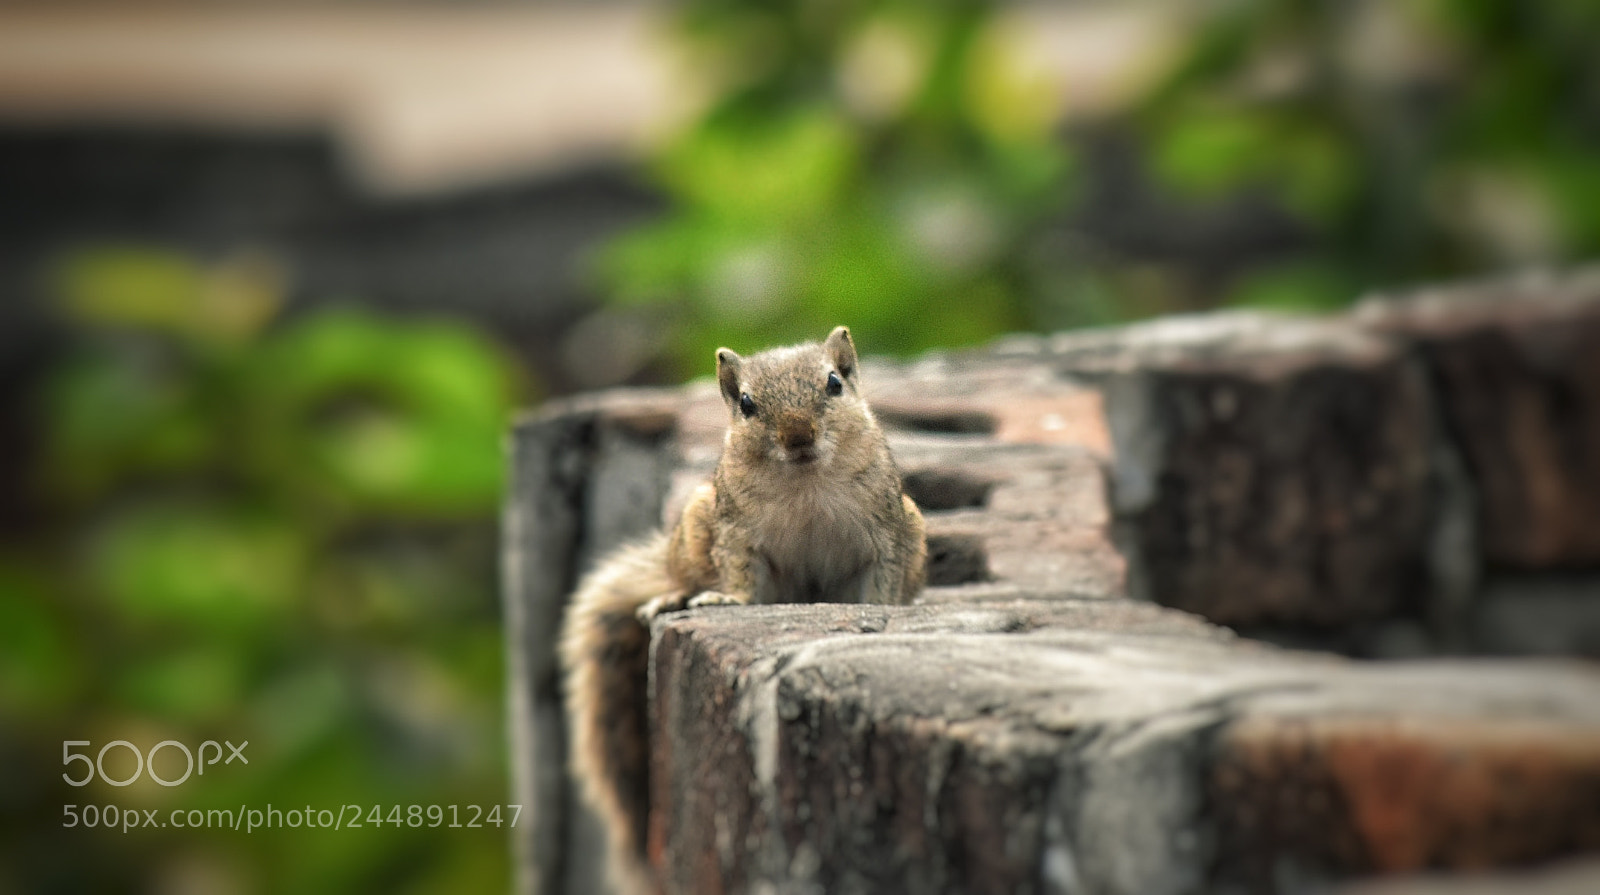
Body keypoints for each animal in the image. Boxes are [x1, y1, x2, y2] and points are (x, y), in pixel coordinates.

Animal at [558, 325, 927, 893]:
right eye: (747, 405)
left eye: (834, 383)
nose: (797, 436)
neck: (805, 482)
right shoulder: (736, 532)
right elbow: (739, 574)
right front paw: (726, 598)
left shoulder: (891, 531)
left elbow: (883, 581)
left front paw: (883, 609)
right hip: (696, 527)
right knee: (681, 575)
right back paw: (672, 595)